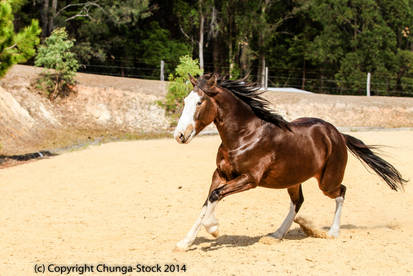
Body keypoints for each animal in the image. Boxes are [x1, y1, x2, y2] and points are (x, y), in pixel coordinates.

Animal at [171, 73, 406, 250]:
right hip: (293, 179)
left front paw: (214, 229)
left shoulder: (250, 179)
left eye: (199, 102)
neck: (245, 136)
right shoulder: (220, 174)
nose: (179, 135)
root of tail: (338, 134)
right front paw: (184, 243)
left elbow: (215, 196)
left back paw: (332, 232)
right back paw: (276, 235)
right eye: (185, 101)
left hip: (327, 182)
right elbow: (208, 200)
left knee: (341, 192)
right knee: (298, 202)